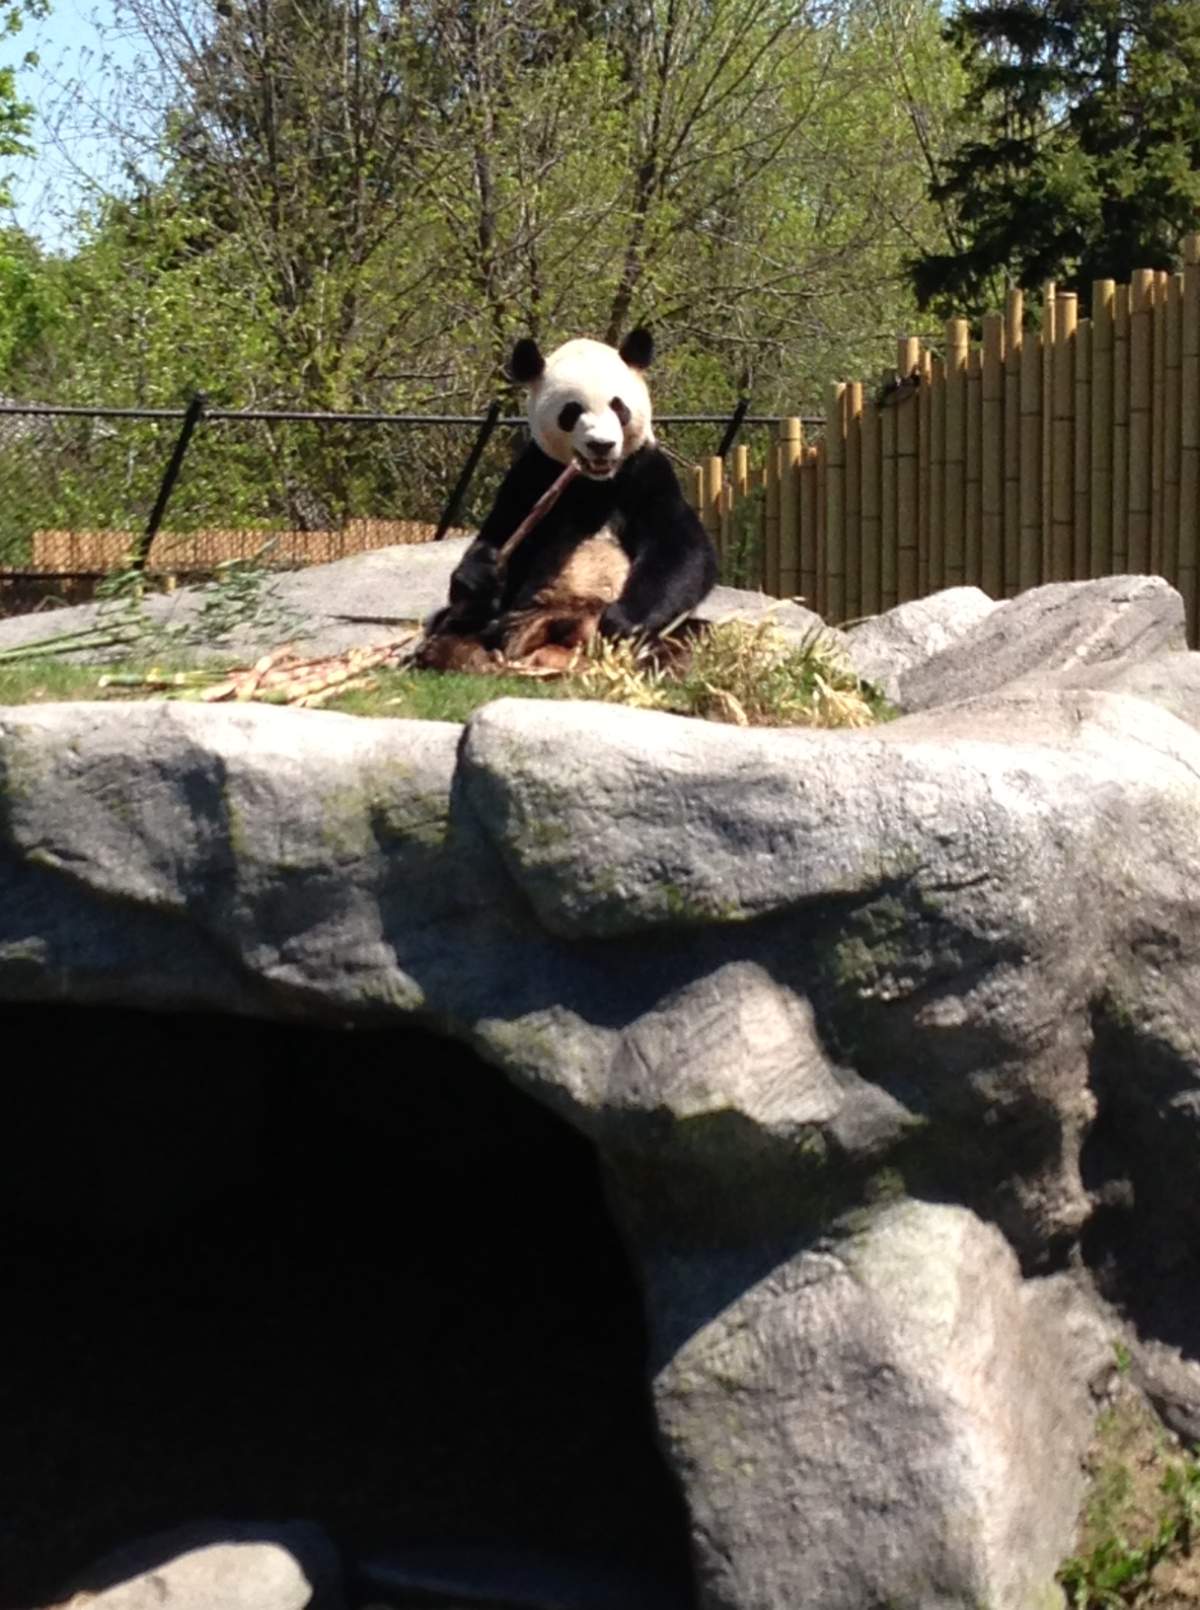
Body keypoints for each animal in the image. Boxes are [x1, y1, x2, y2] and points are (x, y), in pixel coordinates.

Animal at [420, 328, 719, 671]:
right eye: (572, 412)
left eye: (619, 407)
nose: (601, 445)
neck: (594, 482)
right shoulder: (533, 475)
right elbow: (502, 532)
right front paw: (481, 575)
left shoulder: (645, 474)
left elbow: (680, 549)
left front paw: (622, 621)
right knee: (457, 625)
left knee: (694, 633)